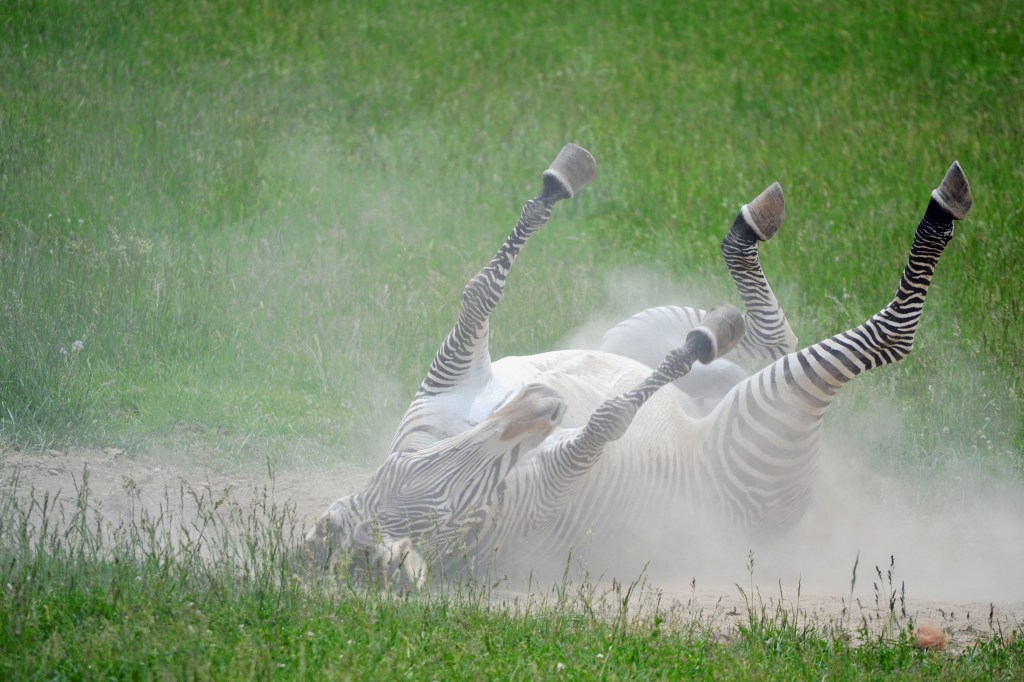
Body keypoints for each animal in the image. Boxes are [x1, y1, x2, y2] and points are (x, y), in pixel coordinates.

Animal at [307, 144, 972, 589]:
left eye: (416, 465)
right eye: (449, 510)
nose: (543, 403)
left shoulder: (447, 380)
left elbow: (480, 289)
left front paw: (560, 181)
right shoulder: (557, 475)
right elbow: (609, 419)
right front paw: (694, 348)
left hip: (631, 330)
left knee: (773, 339)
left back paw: (748, 238)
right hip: (772, 424)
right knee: (884, 338)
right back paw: (941, 207)